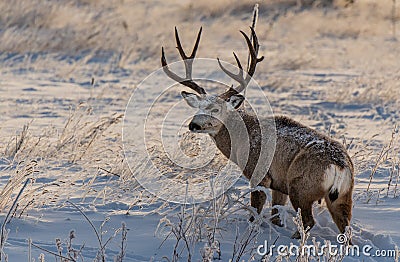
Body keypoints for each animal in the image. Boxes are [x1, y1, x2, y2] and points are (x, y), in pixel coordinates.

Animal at [159, 26, 354, 239]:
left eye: (216, 109)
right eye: (198, 107)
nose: (193, 125)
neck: (243, 138)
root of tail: (340, 166)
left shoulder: (259, 173)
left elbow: (255, 213)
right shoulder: (279, 184)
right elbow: (276, 216)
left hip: (301, 187)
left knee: (308, 222)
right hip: (341, 196)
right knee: (346, 229)